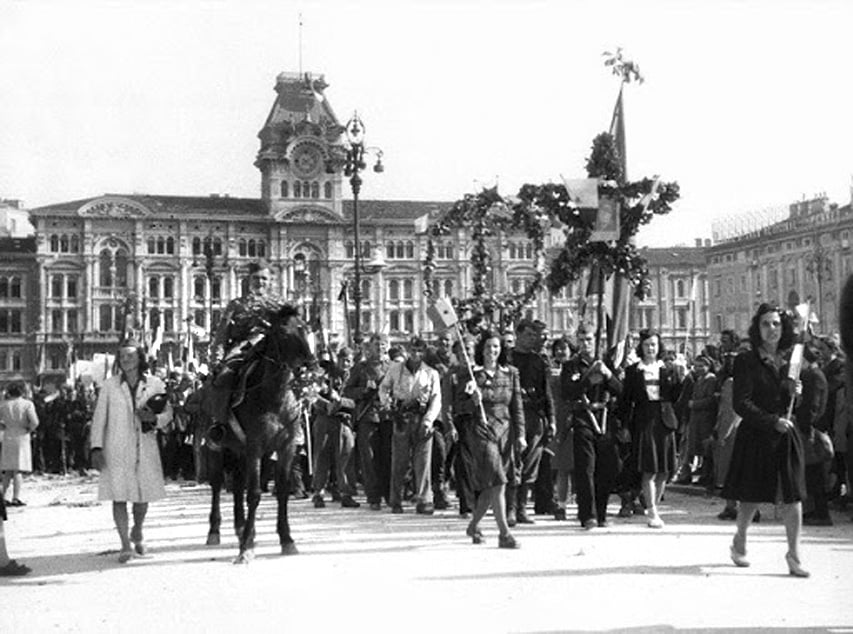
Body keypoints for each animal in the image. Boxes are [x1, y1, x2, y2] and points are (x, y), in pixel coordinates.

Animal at [200, 302, 312, 564]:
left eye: (305, 327)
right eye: (283, 332)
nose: (311, 363)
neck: (274, 397)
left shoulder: (286, 446)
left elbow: (282, 491)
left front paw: (286, 540)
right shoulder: (255, 447)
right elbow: (254, 493)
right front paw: (246, 549)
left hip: (238, 451)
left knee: (237, 483)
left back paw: (241, 528)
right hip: (217, 448)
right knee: (218, 484)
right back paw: (215, 531)